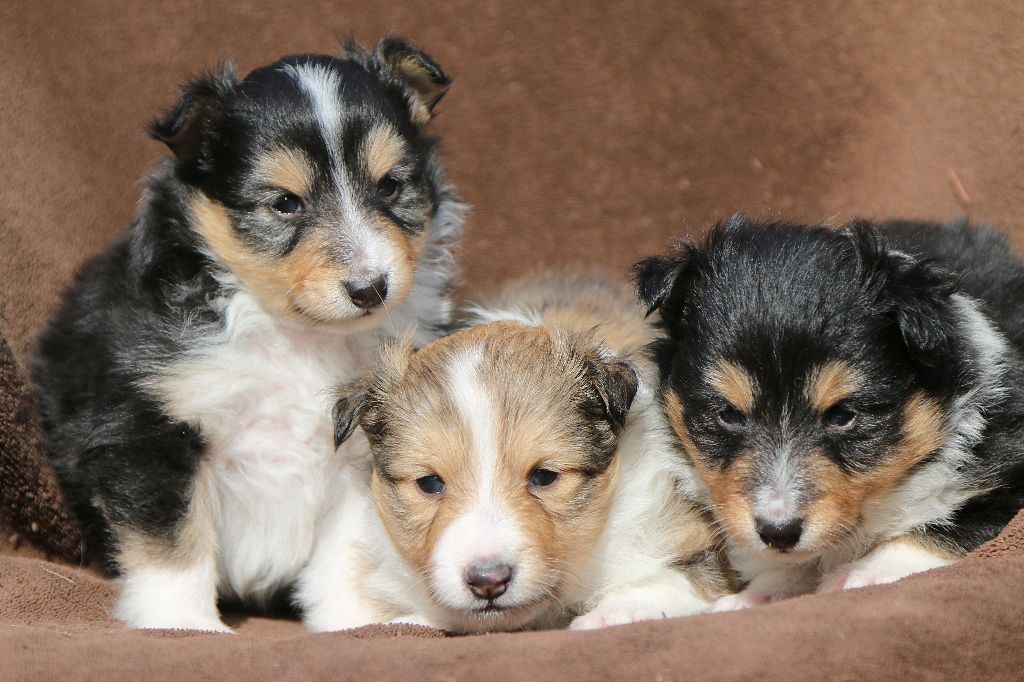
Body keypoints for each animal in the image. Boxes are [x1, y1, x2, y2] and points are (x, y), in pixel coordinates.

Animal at [30, 39, 464, 630]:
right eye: (285, 203)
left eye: (390, 186)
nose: (370, 288)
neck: (298, 336)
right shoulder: (148, 430)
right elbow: (173, 543)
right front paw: (182, 625)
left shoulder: (364, 451)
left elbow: (351, 552)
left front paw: (359, 623)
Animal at [634, 214, 1024, 606]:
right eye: (728, 414)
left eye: (841, 415)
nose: (778, 531)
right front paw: (759, 594)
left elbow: (949, 527)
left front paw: (861, 574)